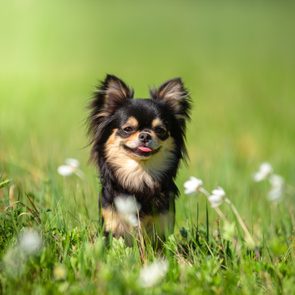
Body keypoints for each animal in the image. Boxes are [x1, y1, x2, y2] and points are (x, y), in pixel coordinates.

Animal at [88, 74, 192, 245]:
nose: (145, 135)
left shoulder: (162, 226)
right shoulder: (112, 223)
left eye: (160, 130)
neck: (139, 174)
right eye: (128, 129)